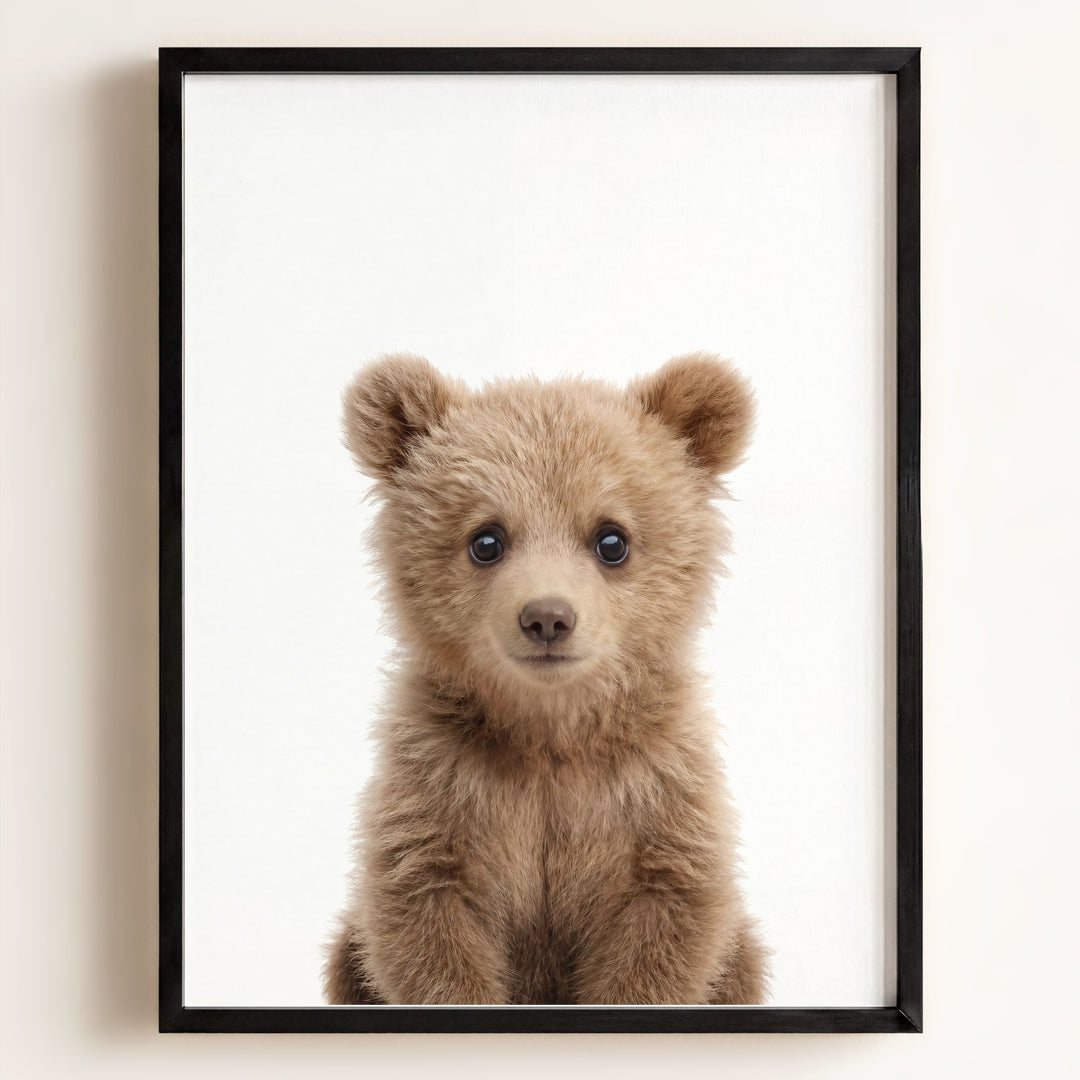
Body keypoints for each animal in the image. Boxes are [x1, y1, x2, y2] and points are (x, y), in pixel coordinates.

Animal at [324, 351, 769, 1006]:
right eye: (486, 539)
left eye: (612, 539)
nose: (548, 617)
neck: (549, 729)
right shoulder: (440, 787)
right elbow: (427, 920)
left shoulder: (655, 793)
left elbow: (663, 926)